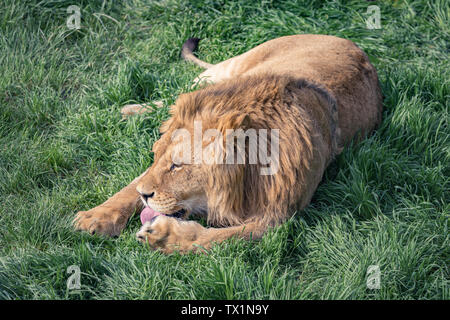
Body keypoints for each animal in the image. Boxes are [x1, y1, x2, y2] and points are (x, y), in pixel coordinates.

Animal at [74, 34, 384, 252]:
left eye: (177, 166)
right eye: (156, 156)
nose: (145, 195)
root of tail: (353, 45)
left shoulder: (276, 218)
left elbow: (216, 239)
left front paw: (163, 236)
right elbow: (128, 187)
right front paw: (95, 217)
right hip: (227, 70)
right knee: (177, 91)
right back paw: (128, 110)